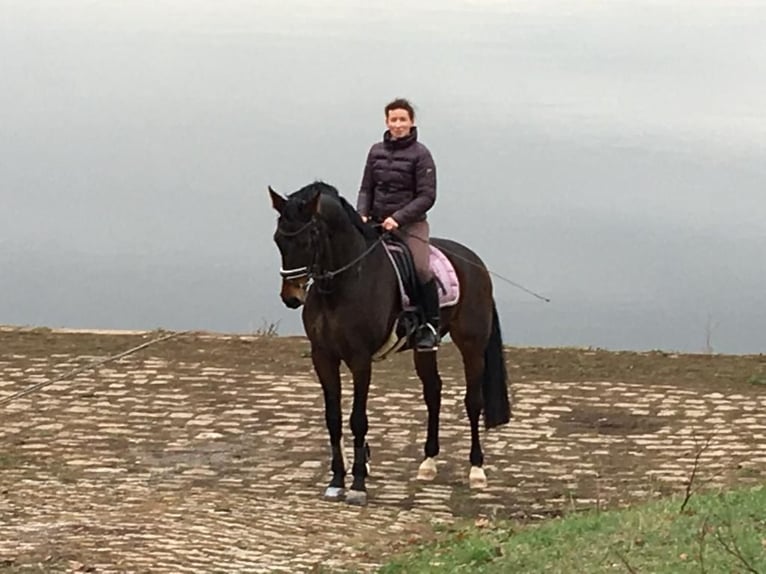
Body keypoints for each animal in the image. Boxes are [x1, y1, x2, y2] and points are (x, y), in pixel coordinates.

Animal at [268, 181, 510, 506]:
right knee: (433, 394)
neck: (343, 283)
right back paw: (428, 463)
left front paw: (358, 484)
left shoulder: (360, 359)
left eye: (309, 239)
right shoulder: (324, 357)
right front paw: (336, 480)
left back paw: (476, 470)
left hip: (471, 344)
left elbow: (358, 419)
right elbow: (333, 418)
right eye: (278, 239)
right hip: (425, 349)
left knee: (473, 401)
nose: (291, 297)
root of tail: (476, 263)